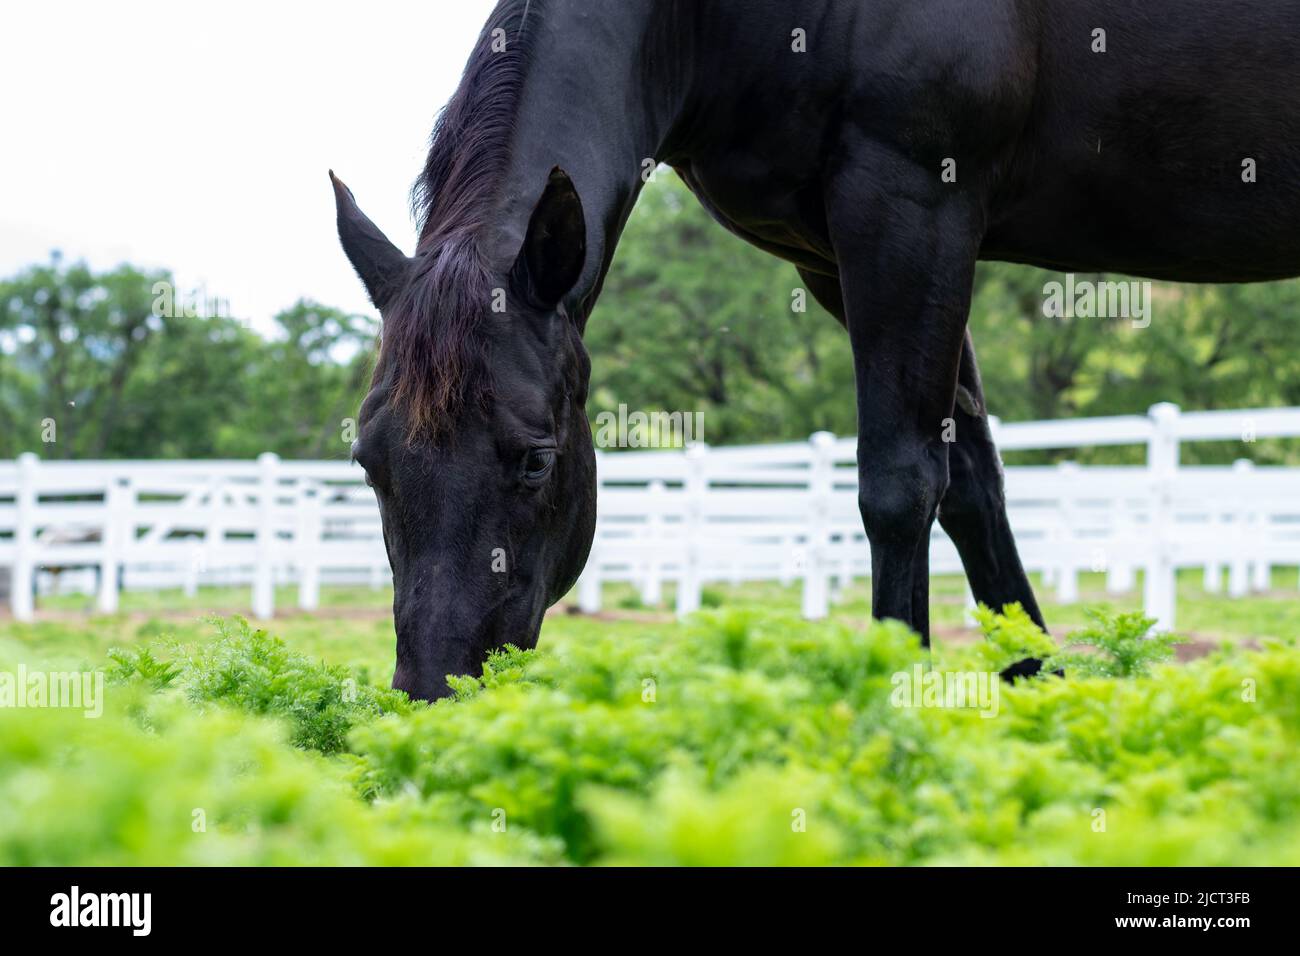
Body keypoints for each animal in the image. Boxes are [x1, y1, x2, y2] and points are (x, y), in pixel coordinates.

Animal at [333, 0, 1300, 701]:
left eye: (536, 462)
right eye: (369, 463)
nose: (433, 693)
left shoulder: (912, 209)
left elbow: (900, 487)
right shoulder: (834, 258)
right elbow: (973, 485)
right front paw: (1037, 700)